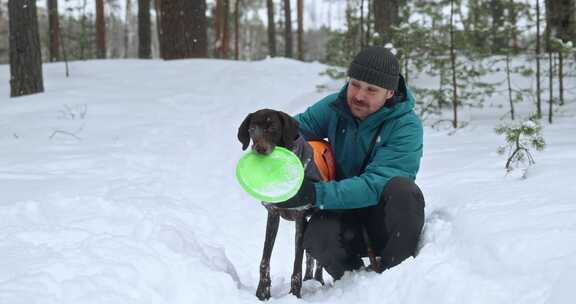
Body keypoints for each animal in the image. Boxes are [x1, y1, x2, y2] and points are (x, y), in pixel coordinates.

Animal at [236, 108, 326, 300]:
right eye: (252, 129)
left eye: (272, 128)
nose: (259, 149)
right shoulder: (273, 214)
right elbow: (265, 260)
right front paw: (262, 292)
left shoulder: (300, 218)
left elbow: (296, 264)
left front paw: (295, 294)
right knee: (310, 255)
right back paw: (309, 280)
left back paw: (318, 281)